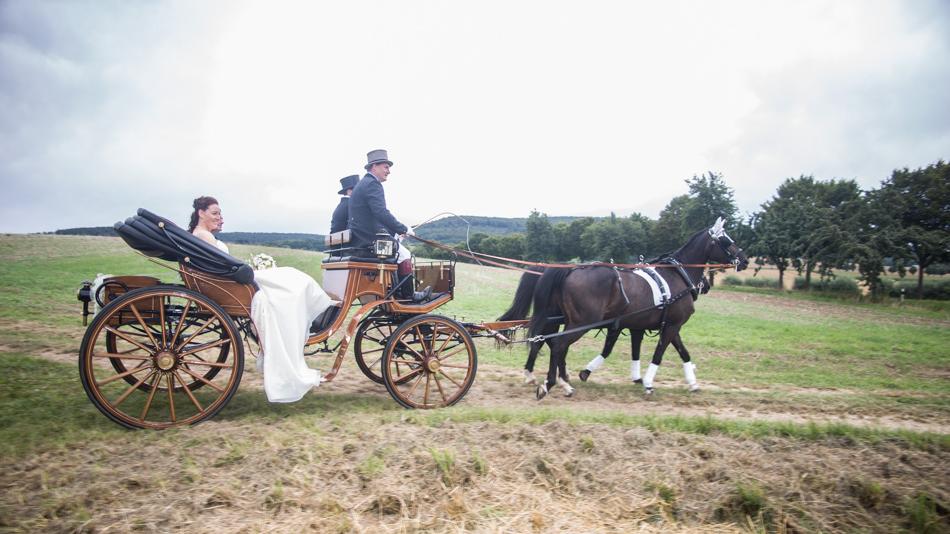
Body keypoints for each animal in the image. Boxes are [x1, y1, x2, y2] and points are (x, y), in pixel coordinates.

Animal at [528, 217, 752, 398]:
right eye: (725, 240)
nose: (745, 260)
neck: (678, 275)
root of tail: (572, 269)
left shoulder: (662, 325)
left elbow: (682, 353)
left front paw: (692, 383)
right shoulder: (671, 326)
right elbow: (658, 354)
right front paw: (649, 383)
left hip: (569, 320)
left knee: (552, 343)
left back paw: (560, 382)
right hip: (582, 322)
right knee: (558, 345)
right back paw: (551, 383)